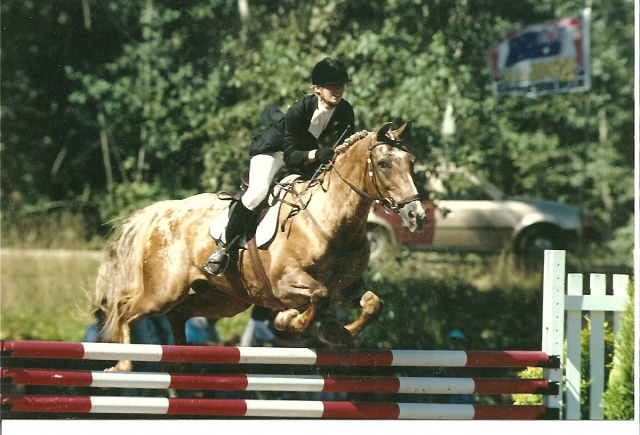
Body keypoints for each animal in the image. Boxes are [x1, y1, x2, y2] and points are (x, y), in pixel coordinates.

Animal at [93, 122, 426, 371]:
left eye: (411, 162)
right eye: (383, 163)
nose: (417, 215)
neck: (332, 223)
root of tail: (165, 212)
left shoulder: (344, 289)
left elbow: (371, 303)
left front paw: (338, 333)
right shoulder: (286, 283)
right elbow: (316, 297)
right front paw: (290, 320)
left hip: (225, 299)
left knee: (180, 313)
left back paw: (183, 361)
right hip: (163, 292)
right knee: (125, 309)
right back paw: (122, 364)